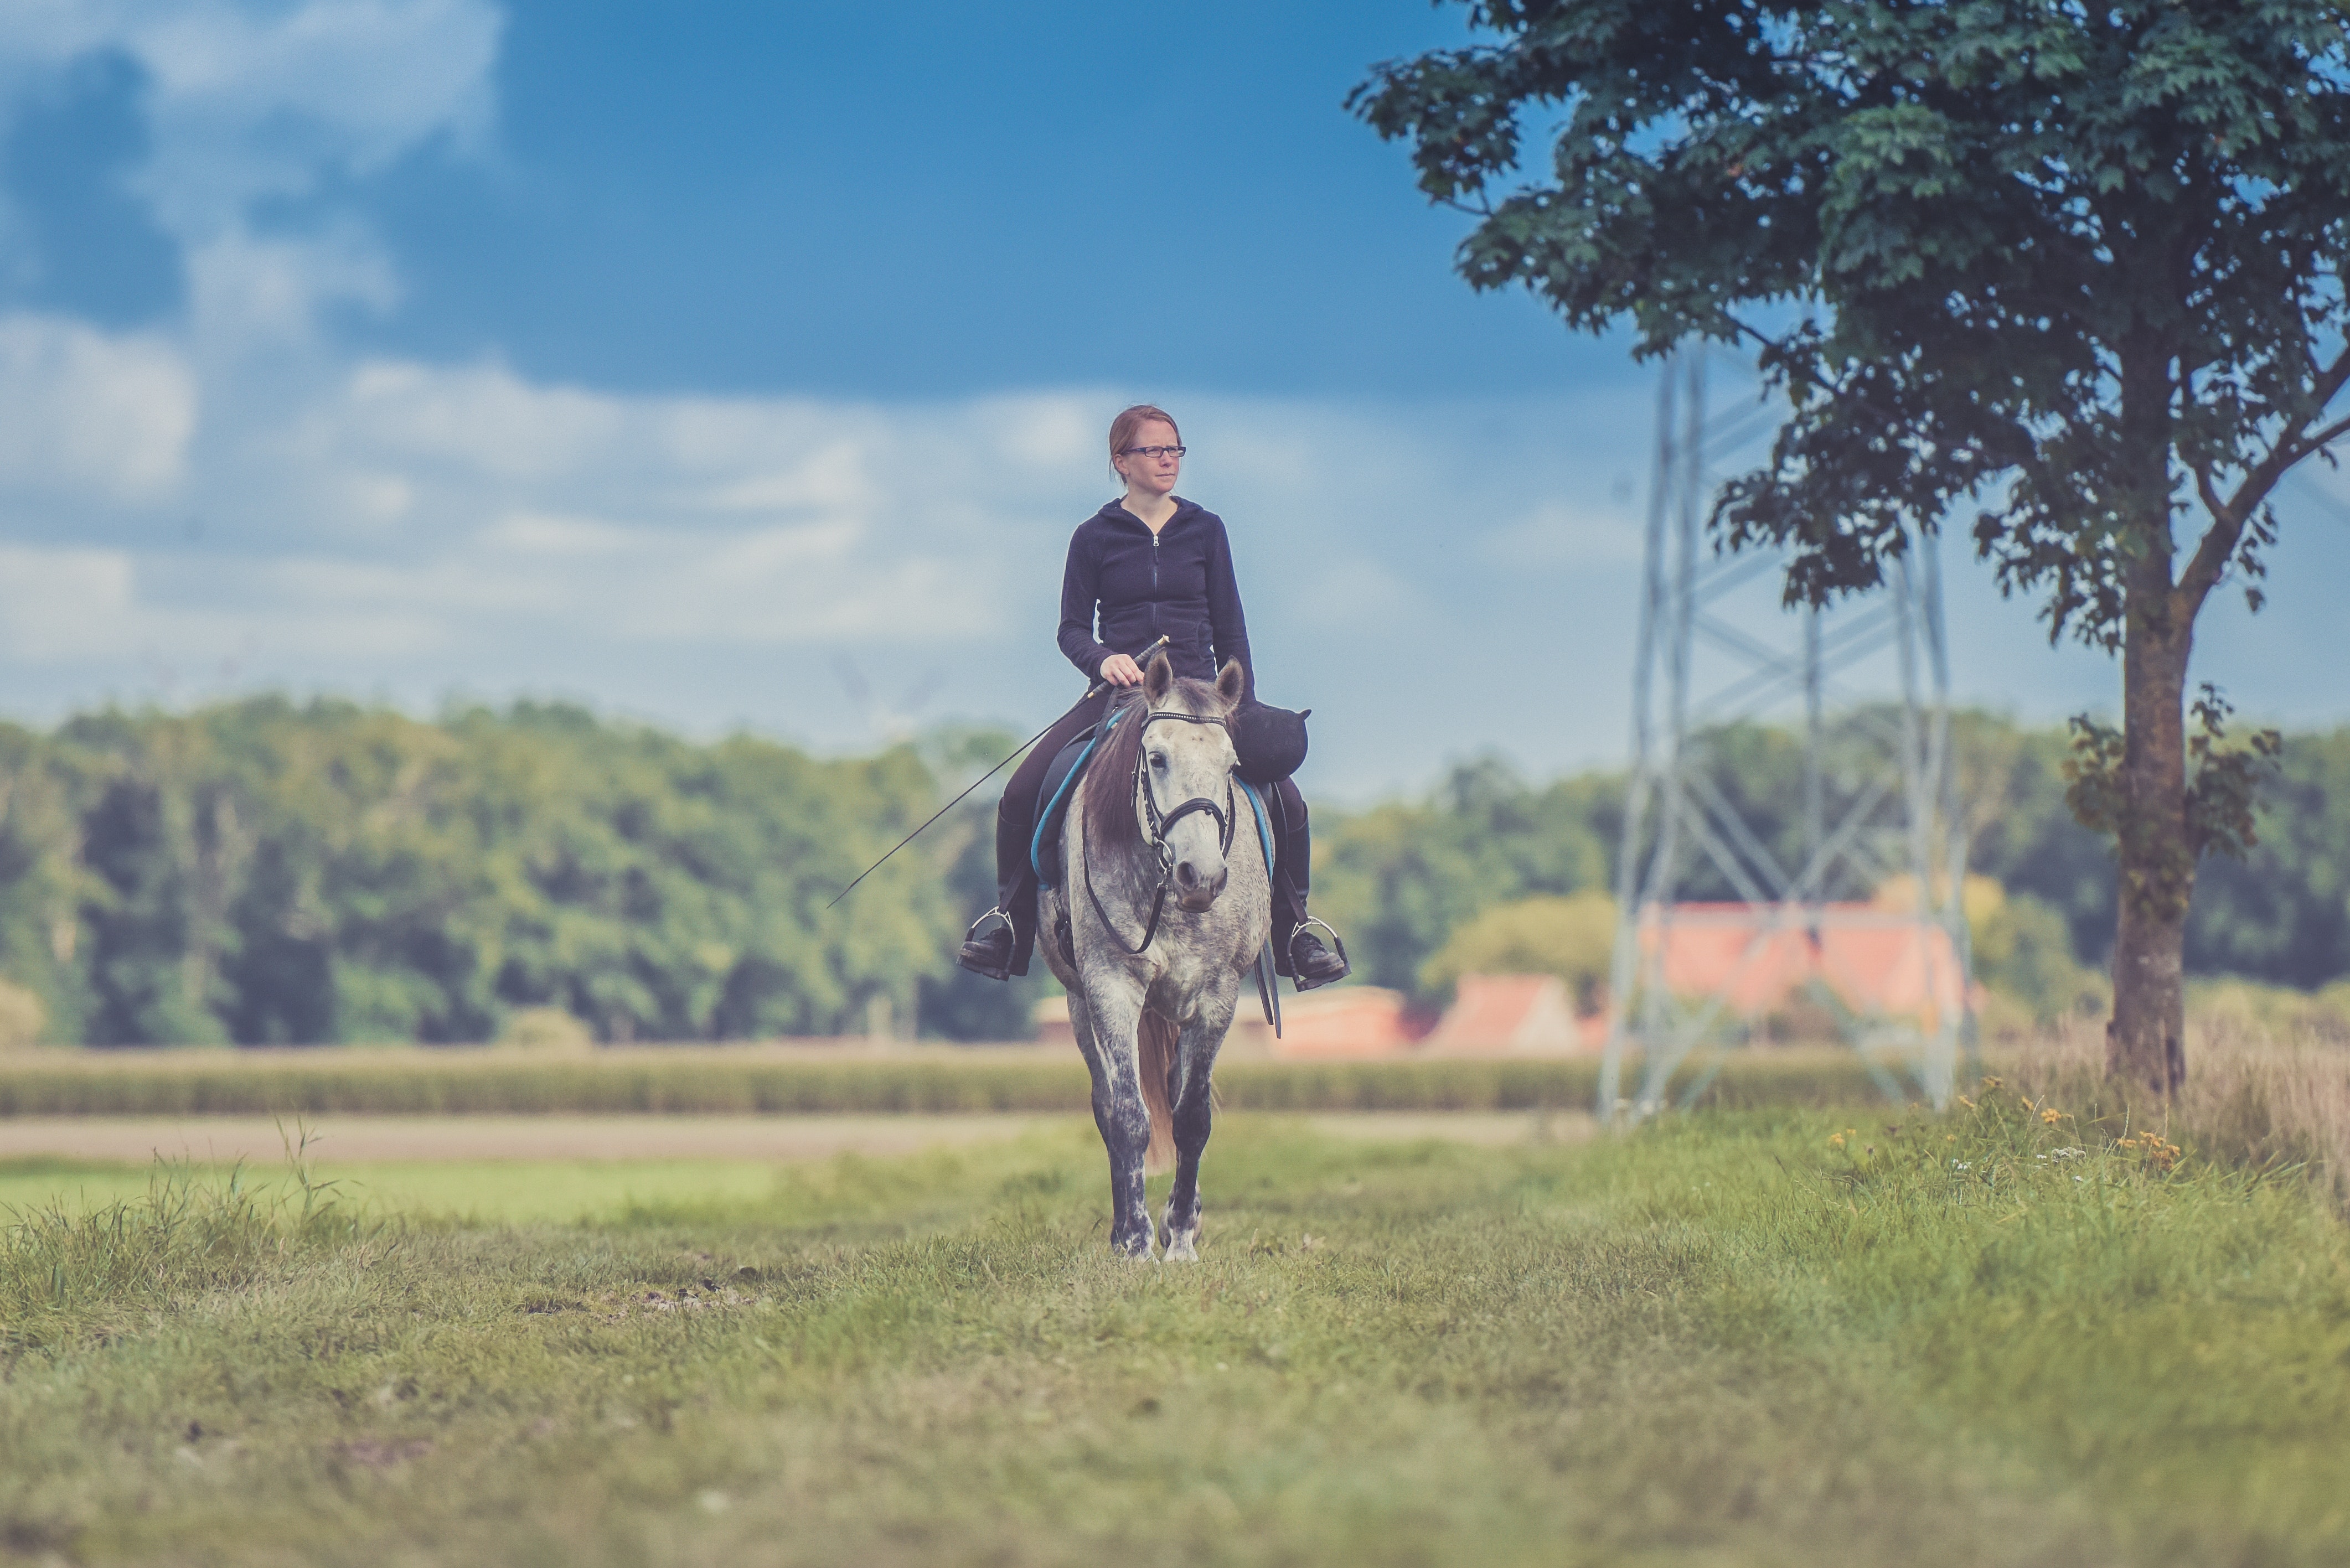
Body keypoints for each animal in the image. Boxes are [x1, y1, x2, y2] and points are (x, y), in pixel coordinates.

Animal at [1043, 653, 1269, 1260]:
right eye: (1158, 758)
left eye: (1232, 764)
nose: (1203, 876)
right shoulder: (1110, 986)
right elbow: (1128, 1115)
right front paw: (1138, 1242)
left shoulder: (1217, 995)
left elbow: (1191, 1118)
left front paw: (1182, 1237)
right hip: (1079, 1005)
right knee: (1107, 1103)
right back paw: (1126, 1229)